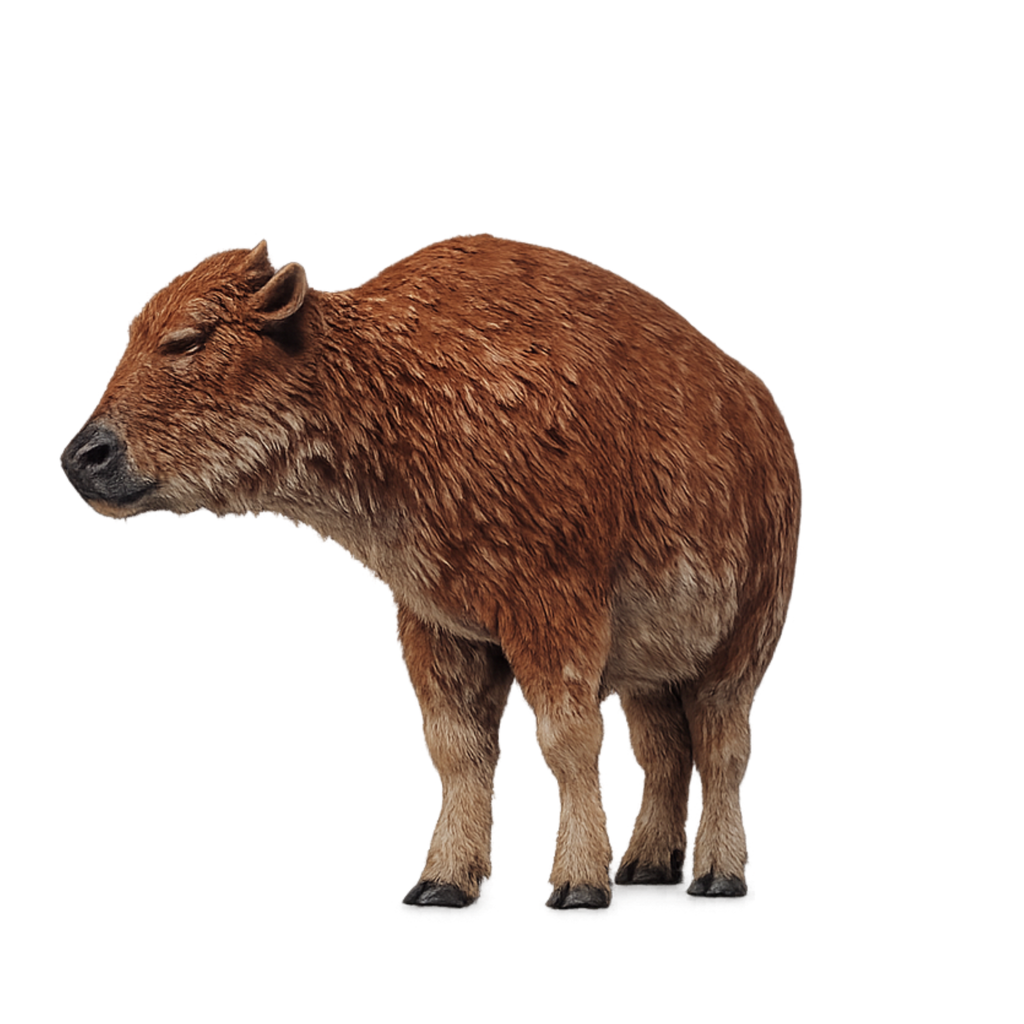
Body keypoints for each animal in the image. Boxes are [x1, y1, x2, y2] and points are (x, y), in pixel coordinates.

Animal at [61, 235, 800, 909]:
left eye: (187, 339)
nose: (82, 456)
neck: (399, 385)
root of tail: (768, 422)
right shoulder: (439, 624)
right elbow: (458, 749)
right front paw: (442, 882)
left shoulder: (554, 615)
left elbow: (567, 741)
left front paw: (578, 883)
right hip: (653, 670)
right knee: (664, 752)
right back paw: (647, 864)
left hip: (744, 642)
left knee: (723, 746)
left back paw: (717, 875)